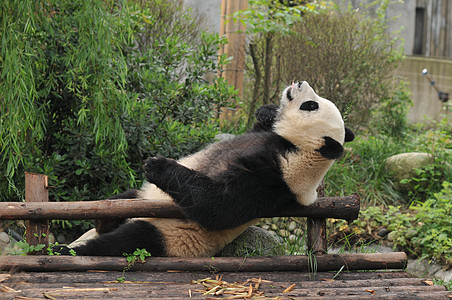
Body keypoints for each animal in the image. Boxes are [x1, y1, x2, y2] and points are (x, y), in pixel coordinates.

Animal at [57, 82, 354, 258]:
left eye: (311, 105)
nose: (300, 83)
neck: (296, 148)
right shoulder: (265, 143)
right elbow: (258, 126)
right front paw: (268, 111)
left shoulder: (275, 181)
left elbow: (217, 205)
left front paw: (157, 165)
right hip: (142, 200)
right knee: (124, 200)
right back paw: (104, 220)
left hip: (169, 235)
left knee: (126, 243)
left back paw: (66, 249)